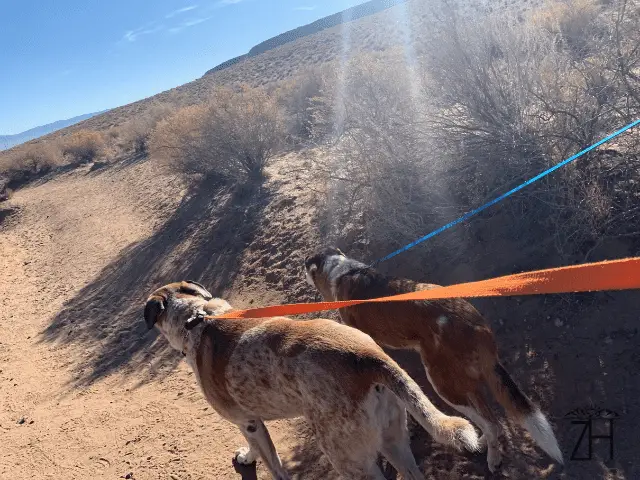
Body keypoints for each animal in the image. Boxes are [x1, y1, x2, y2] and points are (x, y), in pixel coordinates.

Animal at [142, 280, 478, 480]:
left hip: (348, 457)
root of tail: (367, 356)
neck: (196, 318)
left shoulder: (248, 422)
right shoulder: (252, 422)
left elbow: (272, 464)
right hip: (393, 439)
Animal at [304, 248, 564, 472]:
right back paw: (487, 448)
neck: (341, 270)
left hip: (442, 383)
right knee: (491, 419)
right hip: (464, 382)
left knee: (493, 424)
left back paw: (489, 454)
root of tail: (479, 331)